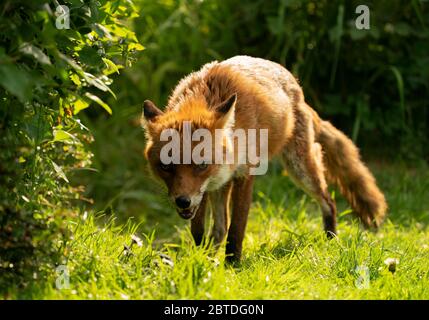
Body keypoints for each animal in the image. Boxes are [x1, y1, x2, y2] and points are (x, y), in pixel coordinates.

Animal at [142, 55, 386, 262]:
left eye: (201, 165)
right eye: (166, 166)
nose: (181, 201)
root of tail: (296, 87)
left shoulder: (245, 173)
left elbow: (237, 228)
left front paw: (232, 266)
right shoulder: (205, 189)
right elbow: (200, 230)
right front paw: (200, 261)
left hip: (299, 168)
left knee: (329, 200)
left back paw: (331, 239)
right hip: (221, 184)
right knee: (219, 228)